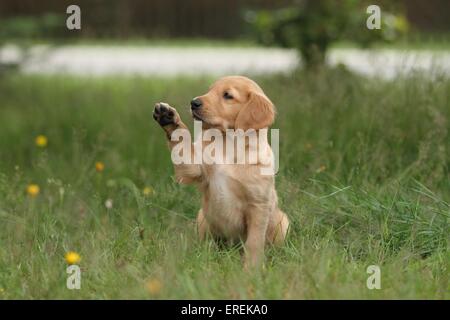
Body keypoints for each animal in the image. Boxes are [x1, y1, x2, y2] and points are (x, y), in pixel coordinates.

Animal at [154, 75, 288, 268]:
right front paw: (169, 118)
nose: (193, 102)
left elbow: (254, 242)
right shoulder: (195, 168)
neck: (229, 144)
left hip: (282, 222)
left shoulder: (258, 205)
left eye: (227, 95)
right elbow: (183, 143)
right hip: (202, 217)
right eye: (210, 90)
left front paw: (252, 268)